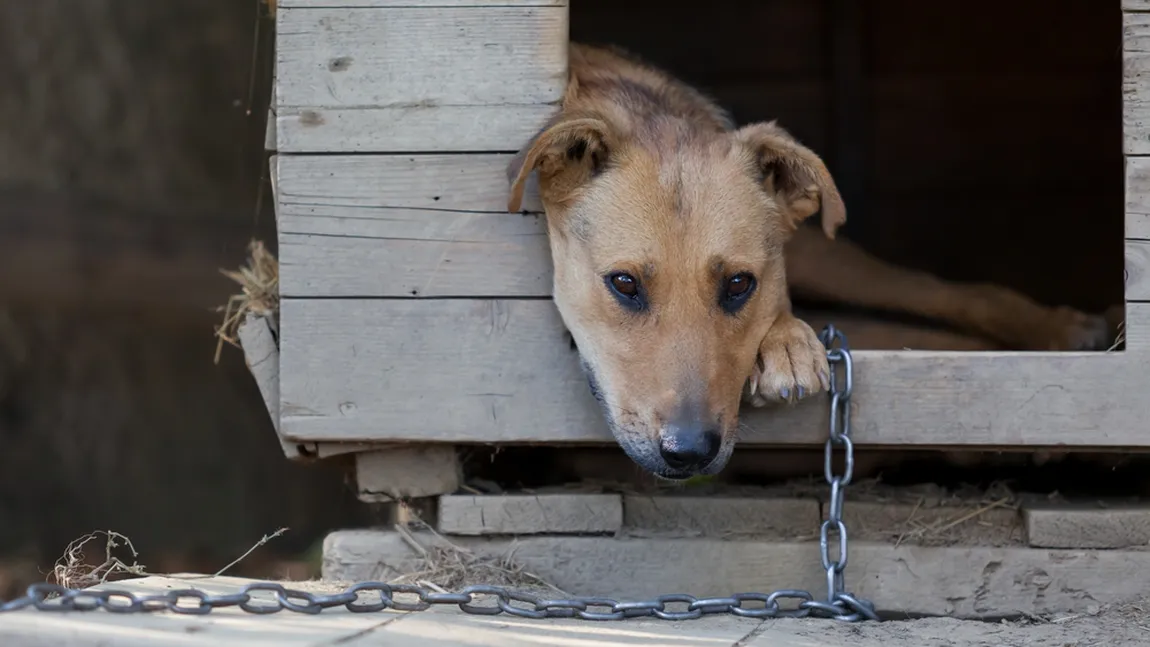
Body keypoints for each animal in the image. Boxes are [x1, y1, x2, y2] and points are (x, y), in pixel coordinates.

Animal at [503, 43, 1113, 480]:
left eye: (739, 284)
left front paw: (787, 342)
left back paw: (1065, 334)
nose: (690, 452)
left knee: (945, 295)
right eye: (624, 284)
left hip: (831, 255)